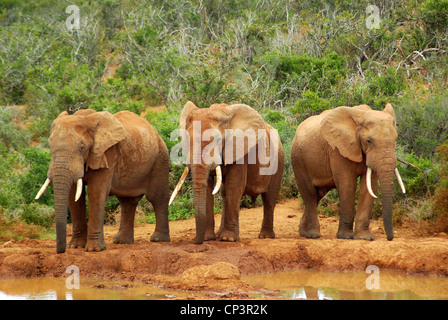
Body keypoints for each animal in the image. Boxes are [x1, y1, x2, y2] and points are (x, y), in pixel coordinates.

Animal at [34, 110, 171, 252]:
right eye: (50, 147)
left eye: (81, 148)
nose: (60, 251)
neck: (85, 118)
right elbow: (74, 196)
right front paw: (76, 246)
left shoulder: (107, 152)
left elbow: (95, 192)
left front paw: (94, 250)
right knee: (127, 201)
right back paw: (121, 242)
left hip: (160, 158)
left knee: (157, 198)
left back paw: (158, 239)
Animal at [170, 101, 286, 244]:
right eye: (186, 139)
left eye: (217, 140)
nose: (196, 241)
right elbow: (209, 188)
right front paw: (208, 238)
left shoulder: (240, 150)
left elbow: (234, 185)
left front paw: (228, 239)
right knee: (225, 194)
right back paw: (220, 234)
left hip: (279, 160)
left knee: (269, 197)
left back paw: (265, 236)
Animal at [290, 104, 406, 241]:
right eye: (368, 141)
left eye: (396, 139)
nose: (390, 238)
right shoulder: (337, 150)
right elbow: (347, 184)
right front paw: (346, 237)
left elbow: (369, 187)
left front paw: (365, 238)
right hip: (298, 158)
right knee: (309, 193)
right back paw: (313, 235)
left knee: (318, 194)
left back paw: (303, 232)